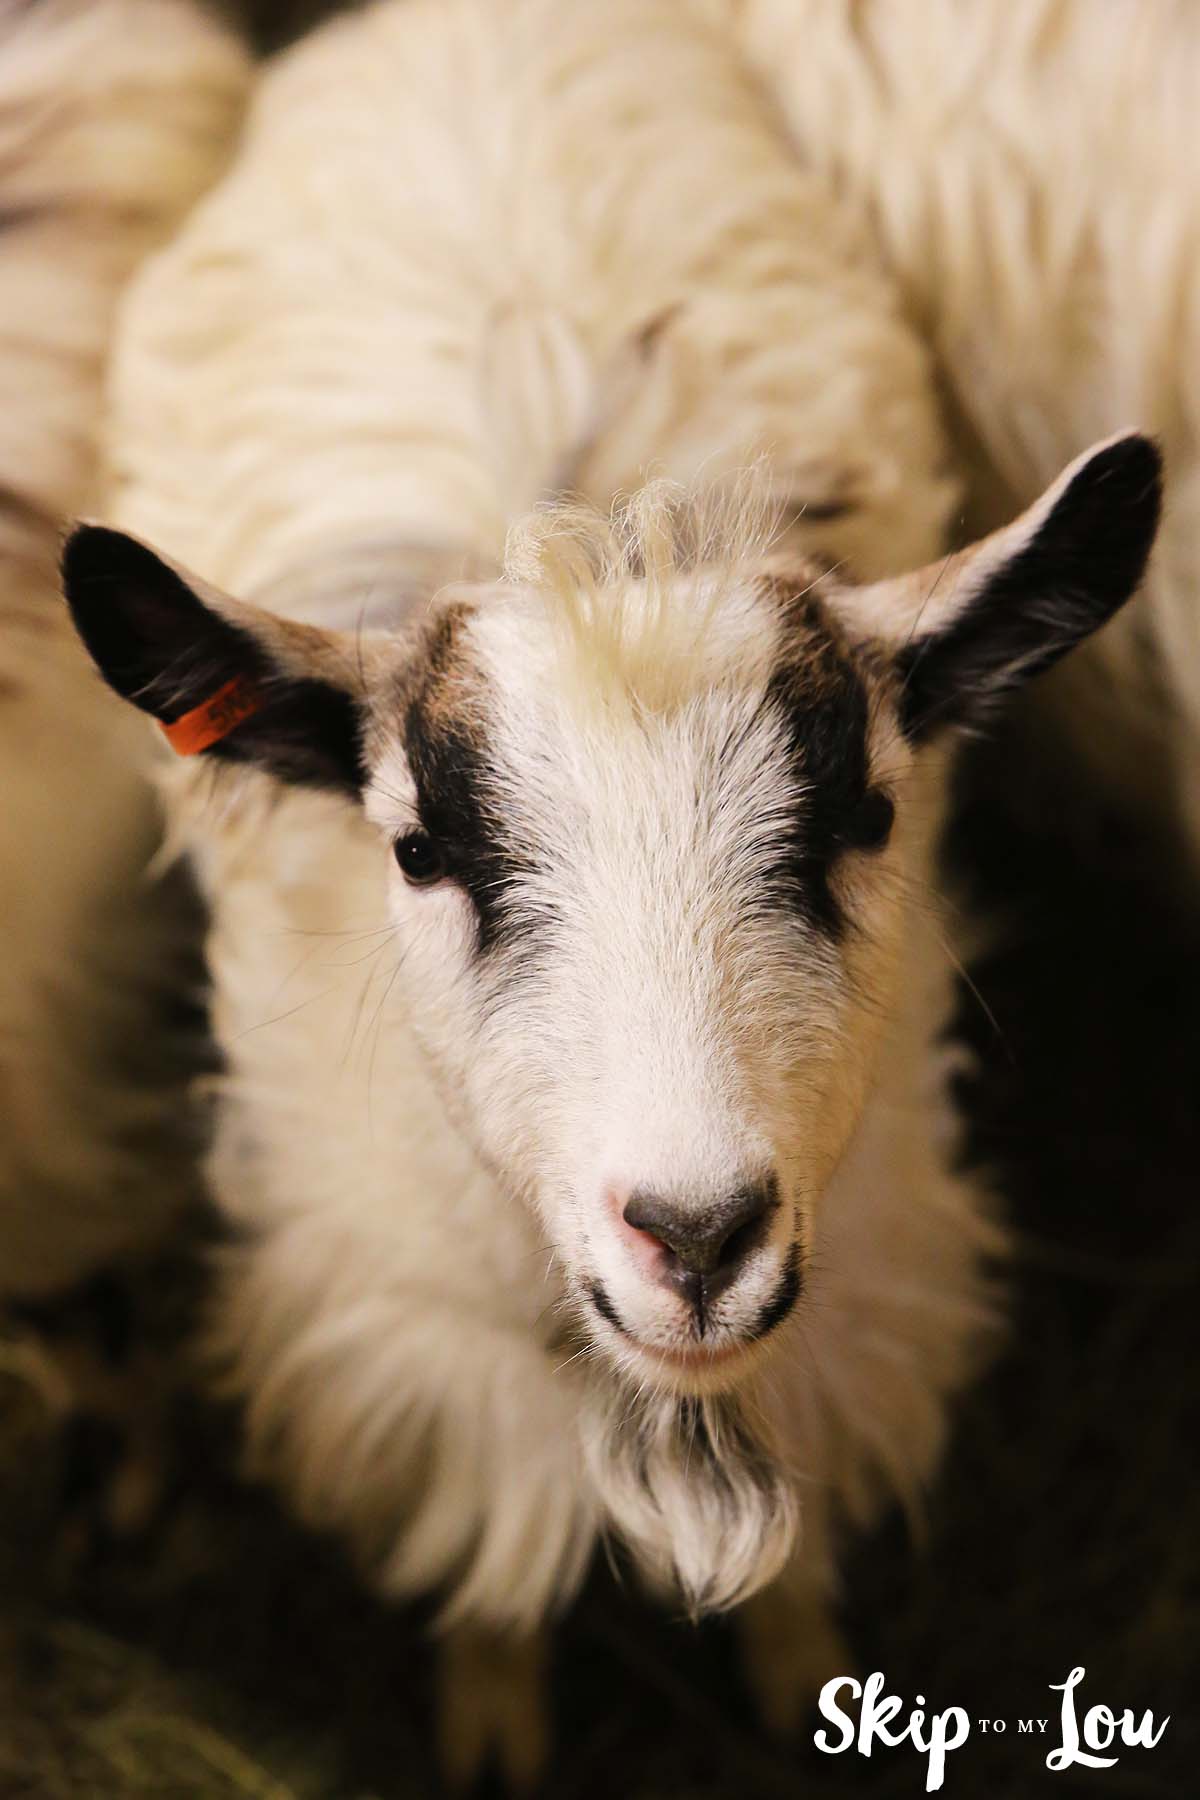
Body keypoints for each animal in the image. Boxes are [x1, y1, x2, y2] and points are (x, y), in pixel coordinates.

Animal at [61, 0, 1161, 1782]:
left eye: (866, 808)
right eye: (421, 847)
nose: (698, 1236)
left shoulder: (859, 1303)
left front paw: (806, 1690)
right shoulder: (421, 1363)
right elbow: (489, 1589)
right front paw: (492, 1733)